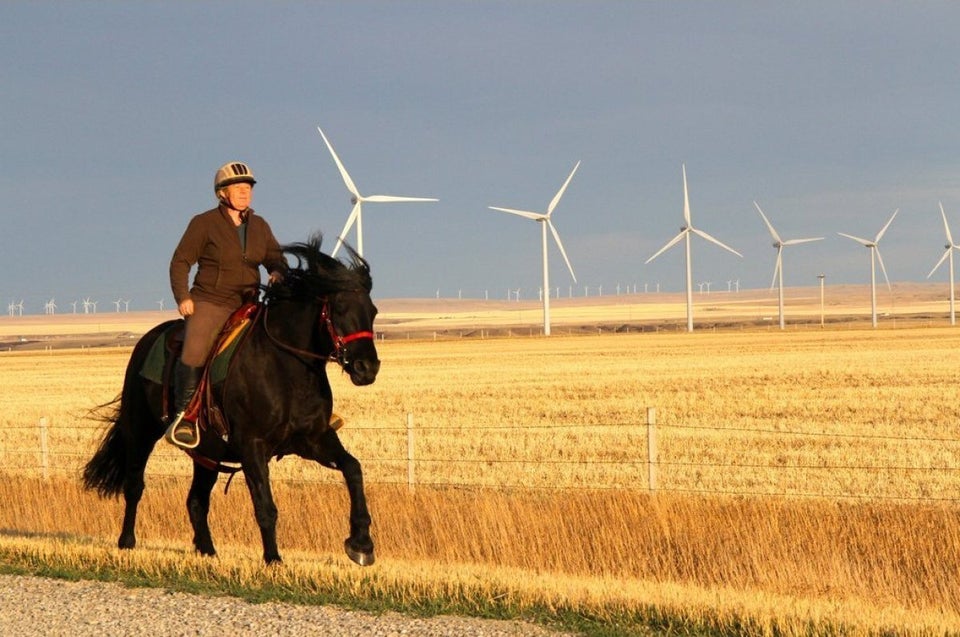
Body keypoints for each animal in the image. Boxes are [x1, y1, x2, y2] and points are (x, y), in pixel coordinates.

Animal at [82, 236, 380, 564]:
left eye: (373, 311)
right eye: (339, 308)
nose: (367, 367)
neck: (287, 368)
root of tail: (147, 339)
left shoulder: (313, 440)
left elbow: (353, 468)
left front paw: (361, 542)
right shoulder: (252, 446)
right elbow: (265, 506)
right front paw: (273, 559)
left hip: (207, 453)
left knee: (196, 500)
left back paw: (208, 551)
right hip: (140, 432)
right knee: (134, 486)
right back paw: (127, 542)